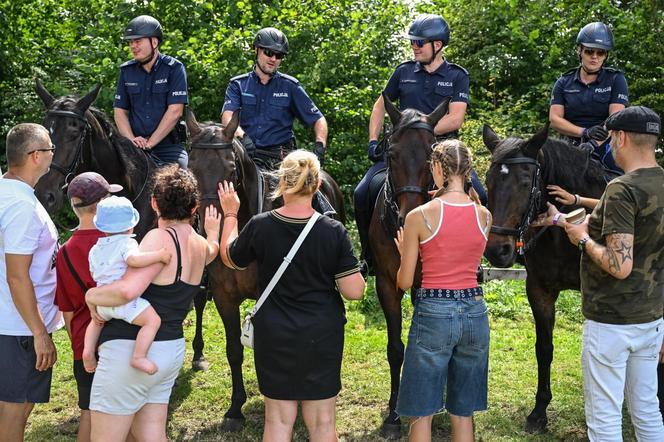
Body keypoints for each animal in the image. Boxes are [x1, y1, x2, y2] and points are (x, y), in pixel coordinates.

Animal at [184, 109, 344, 432]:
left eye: (231, 168)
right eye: (192, 166)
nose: (210, 220)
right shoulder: (224, 297)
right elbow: (234, 350)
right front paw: (235, 409)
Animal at [480, 123, 608, 432]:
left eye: (526, 183)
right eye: (489, 180)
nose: (497, 251)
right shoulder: (539, 290)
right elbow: (544, 349)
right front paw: (539, 412)